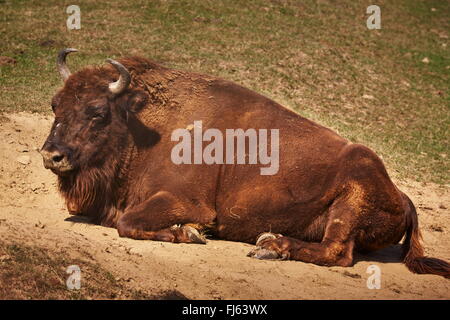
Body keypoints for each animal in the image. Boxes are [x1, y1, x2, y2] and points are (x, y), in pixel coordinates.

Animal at [40, 48, 448, 278]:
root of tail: (402, 196)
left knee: (337, 251)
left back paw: (271, 245)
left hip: (349, 203)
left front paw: (188, 233)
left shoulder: (186, 202)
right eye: (55, 104)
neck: (142, 124)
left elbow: (128, 223)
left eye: (97, 111)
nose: (51, 155)